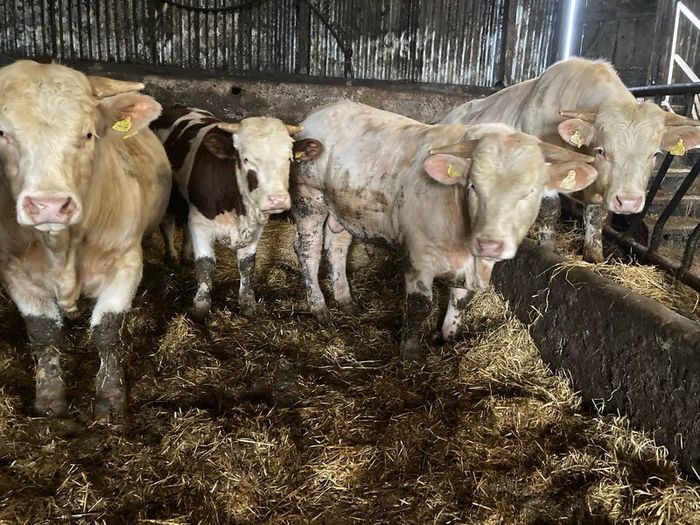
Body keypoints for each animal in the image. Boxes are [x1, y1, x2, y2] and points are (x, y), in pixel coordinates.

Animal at [0, 60, 172, 420]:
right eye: (3, 133)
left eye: (89, 134)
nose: (49, 205)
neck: (61, 249)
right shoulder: (14, 271)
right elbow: (42, 334)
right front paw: (49, 398)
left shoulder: (126, 262)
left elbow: (106, 330)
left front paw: (111, 395)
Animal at [151, 106, 322, 321]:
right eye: (246, 159)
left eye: (289, 158)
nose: (277, 199)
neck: (239, 209)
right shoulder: (200, 222)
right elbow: (205, 265)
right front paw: (200, 307)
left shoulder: (256, 228)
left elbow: (247, 264)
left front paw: (247, 303)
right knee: (168, 223)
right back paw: (173, 257)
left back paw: (186, 255)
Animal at [292, 101, 598, 362]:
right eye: (473, 186)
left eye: (530, 192)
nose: (490, 244)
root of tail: (320, 113)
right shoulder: (418, 256)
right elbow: (419, 305)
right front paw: (411, 354)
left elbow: (461, 300)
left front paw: (450, 338)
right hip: (310, 196)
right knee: (308, 249)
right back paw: (319, 306)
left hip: (344, 209)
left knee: (337, 246)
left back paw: (345, 300)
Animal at [440, 58, 700, 262]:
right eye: (602, 151)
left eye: (655, 154)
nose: (628, 202)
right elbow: (550, 209)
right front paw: (548, 247)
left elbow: (596, 216)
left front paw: (594, 255)